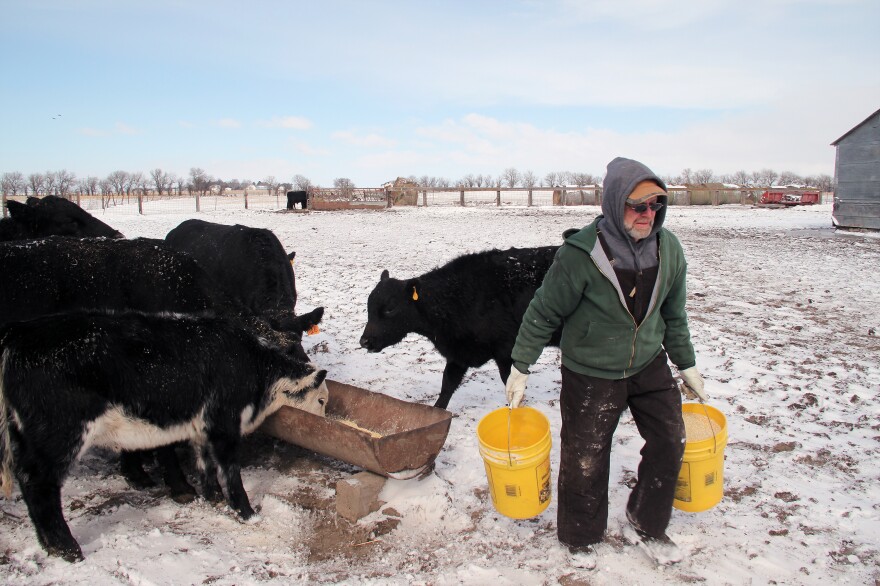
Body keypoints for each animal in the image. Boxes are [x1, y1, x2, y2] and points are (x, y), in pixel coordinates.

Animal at [0, 310, 328, 560]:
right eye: (322, 400)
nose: (325, 422)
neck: (251, 366)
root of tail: (18, 334)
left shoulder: (201, 426)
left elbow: (205, 463)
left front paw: (212, 497)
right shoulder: (223, 425)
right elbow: (230, 472)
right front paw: (247, 512)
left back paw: (50, 546)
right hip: (59, 434)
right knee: (40, 486)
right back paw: (68, 549)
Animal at [360, 245, 560, 406]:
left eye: (390, 309)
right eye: (369, 306)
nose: (364, 341)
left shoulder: (506, 351)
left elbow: (511, 384)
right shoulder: (458, 355)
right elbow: (447, 386)